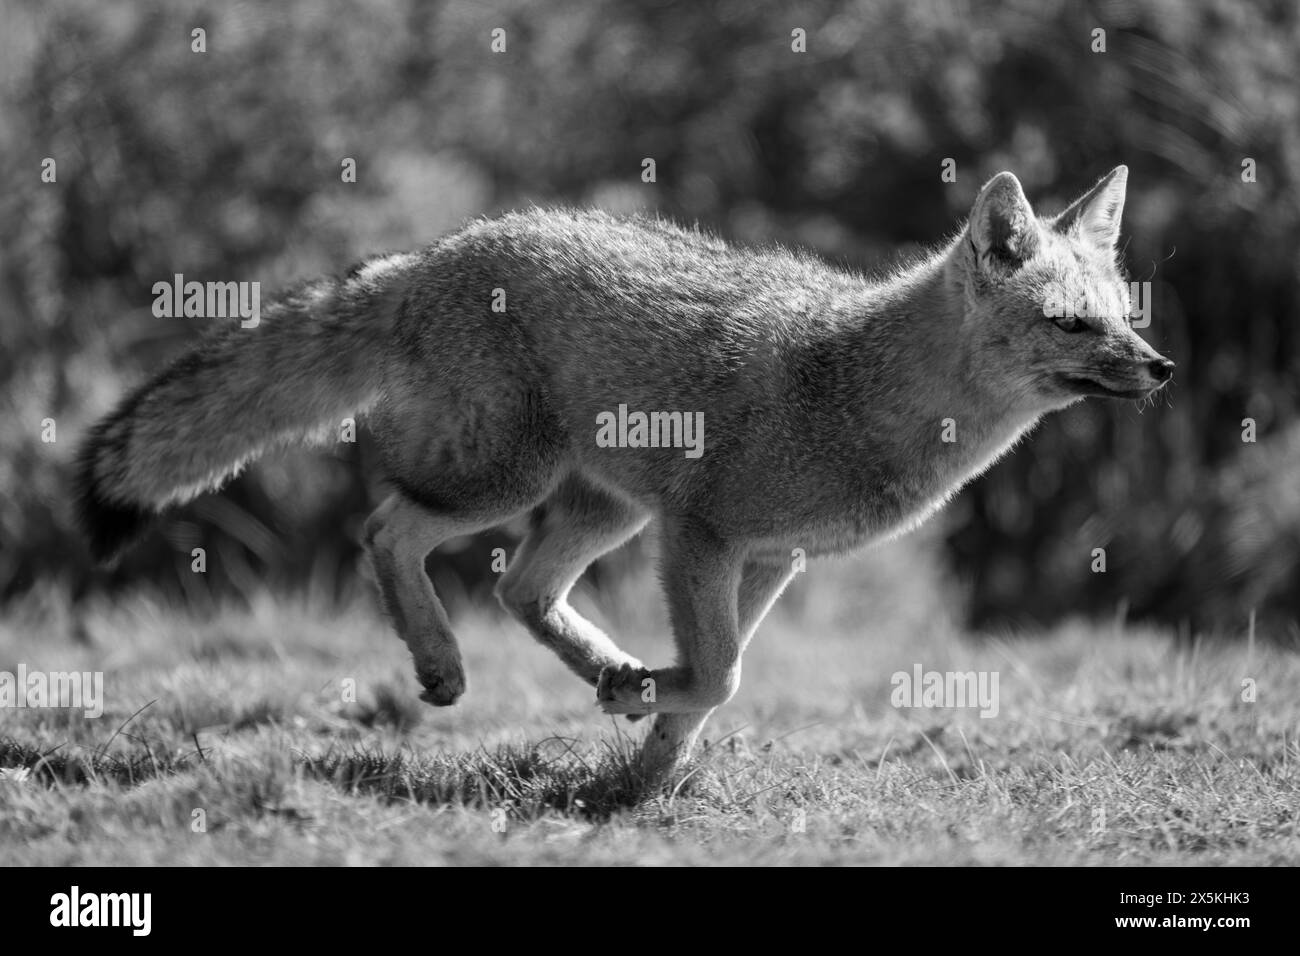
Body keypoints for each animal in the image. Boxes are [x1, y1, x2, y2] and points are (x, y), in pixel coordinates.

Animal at [76, 166, 1172, 785]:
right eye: (1073, 324)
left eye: (1125, 314)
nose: (1161, 368)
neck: (855, 386)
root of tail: (430, 254)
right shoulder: (702, 536)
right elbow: (723, 673)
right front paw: (650, 737)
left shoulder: (769, 559)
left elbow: (715, 685)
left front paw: (645, 775)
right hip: (506, 484)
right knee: (387, 530)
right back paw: (446, 663)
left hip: (597, 510)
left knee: (518, 588)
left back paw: (612, 670)